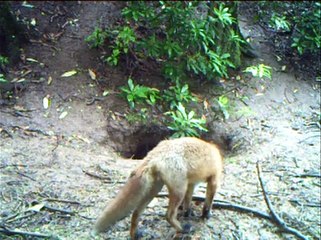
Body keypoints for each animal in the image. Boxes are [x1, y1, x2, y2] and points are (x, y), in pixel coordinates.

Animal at [92, 136, 222, 239]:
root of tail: (157, 152)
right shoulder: (214, 179)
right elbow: (208, 202)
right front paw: (206, 215)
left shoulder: (191, 184)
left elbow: (187, 202)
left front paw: (187, 213)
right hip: (178, 189)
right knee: (168, 215)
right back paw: (183, 229)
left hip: (154, 190)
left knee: (136, 213)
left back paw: (135, 234)